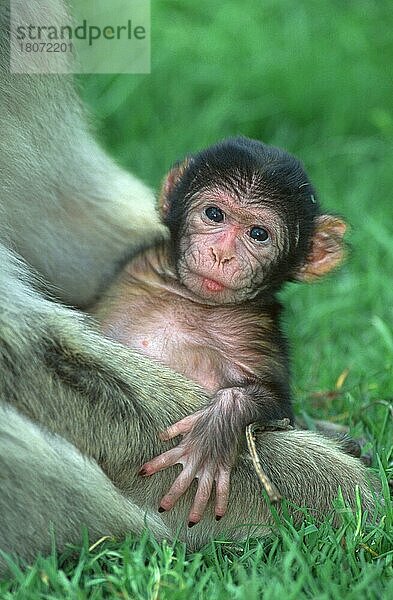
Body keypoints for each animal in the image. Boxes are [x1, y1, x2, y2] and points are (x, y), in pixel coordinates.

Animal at [95, 136, 346, 524]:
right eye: (214, 215)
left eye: (258, 234)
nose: (220, 254)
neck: (193, 300)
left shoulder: (256, 334)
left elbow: (277, 406)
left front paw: (214, 434)